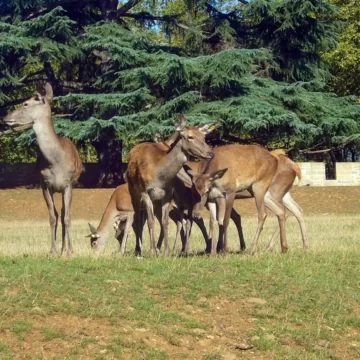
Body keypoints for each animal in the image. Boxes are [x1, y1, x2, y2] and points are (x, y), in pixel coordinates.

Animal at [3, 82, 82, 255]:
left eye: (26, 103)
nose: (6, 118)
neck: (55, 162)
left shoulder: (68, 184)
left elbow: (68, 217)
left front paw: (71, 251)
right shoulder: (44, 184)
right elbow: (52, 217)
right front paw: (52, 251)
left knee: (65, 212)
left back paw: (65, 248)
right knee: (59, 213)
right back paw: (60, 248)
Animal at [126, 114, 215, 258]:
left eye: (204, 137)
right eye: (190, 137)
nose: (210, 153)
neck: (159, 175)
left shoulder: (167, 194)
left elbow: (165, 222)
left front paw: (166, 252)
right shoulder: (146, 192)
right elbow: (150, 221)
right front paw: (153, 252)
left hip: (157, 199)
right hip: (133, 190)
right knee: (138, 219)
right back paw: (138, 250)